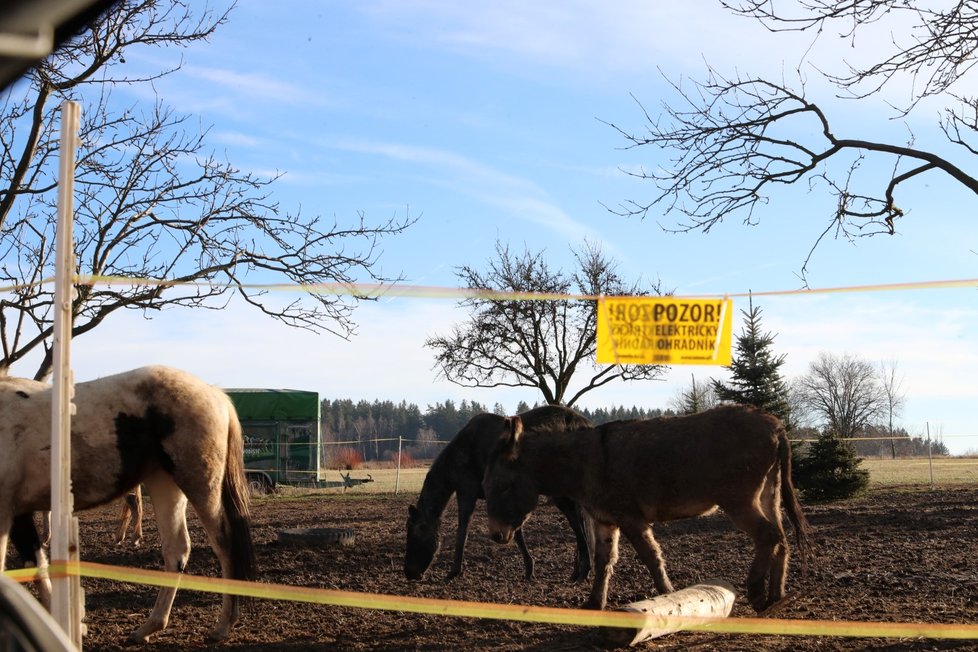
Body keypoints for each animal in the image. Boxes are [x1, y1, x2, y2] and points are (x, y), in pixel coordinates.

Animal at [0, 364, 255, 644]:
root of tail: (214, 393)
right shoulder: (19, 513)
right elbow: (36, 564)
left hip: (201, 486)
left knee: (224, 546)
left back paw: (222, 626)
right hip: (165, 484)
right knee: (176, 550)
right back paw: (149, 627)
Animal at [402, 408, 592, 580]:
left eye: (414, 533)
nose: (409, 573)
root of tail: (586, 425)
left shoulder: (467, 490)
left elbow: (462, 530)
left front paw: (454, 571)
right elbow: (517, 532)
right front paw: (529, 569)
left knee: (579, 526)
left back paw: (583, 571)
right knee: (581, 525)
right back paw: (577, 572)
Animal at [484, 404, 812, 612]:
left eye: (501, 487)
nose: (496, 536)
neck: (585, 462)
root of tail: (776, 425)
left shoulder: (631, 518)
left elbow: (651, 556)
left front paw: (669, 595)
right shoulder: (605, 521)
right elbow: (604, 561)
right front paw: (594, 603)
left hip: (739, 499)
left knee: (768, 536)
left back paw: (757, 593)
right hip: (769, 493)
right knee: (781, 540)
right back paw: (776, 597)